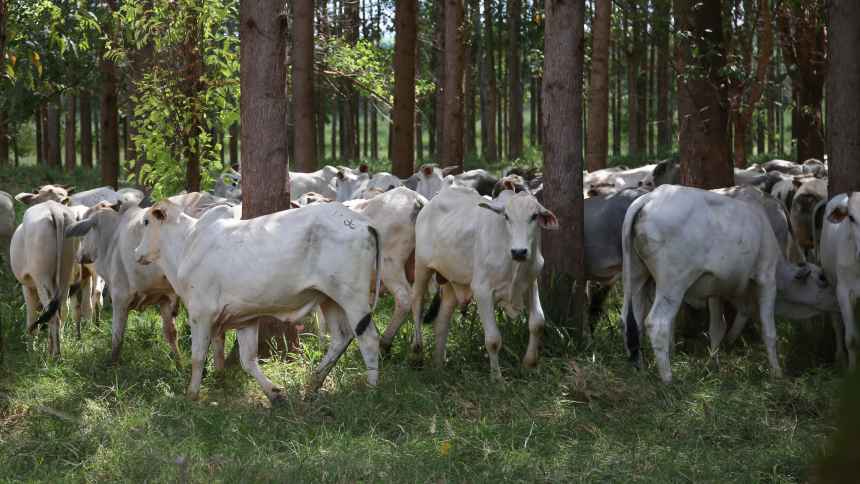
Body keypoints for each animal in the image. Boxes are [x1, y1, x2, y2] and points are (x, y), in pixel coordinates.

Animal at [9, 200, 78, 356]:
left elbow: (31, 317)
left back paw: (54, 355)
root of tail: (53, 208)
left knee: (53, 316)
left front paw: (31, 351)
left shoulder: (27, 286)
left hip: (42, 280)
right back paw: (56, 349)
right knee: (62, 310)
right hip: (65, 275)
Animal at [134, 199, 380, 400]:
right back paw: (312, 384)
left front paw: (192, 394)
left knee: (368, 337)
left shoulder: (200, 314)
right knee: (341, 337)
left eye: (146, 222)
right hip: (329, 298)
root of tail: (363, 222)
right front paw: (274, 393)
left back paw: (371, 389)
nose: (137, 252)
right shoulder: (245, 319)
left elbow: (198, 356)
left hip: (352, 296)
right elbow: (248, 360)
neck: (187, 244)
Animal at [410, 185, 556, 378]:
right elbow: (493, 339)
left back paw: (438, 365)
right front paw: (496, 377)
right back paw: (416, 351)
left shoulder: (530, 284)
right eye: (507, 216)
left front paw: (530, 364)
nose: (519, 251)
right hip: (421, 266)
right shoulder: (482, 291)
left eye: (534, 216)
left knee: (441, 322)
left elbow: (537, 322)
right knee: (417, 302)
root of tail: (430, 203)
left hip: (451, 283)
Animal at [620, 184, 836, 382]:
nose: (836, 299)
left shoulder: (715, 289)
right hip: (673, 285)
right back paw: (668, 379)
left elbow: (717, 328)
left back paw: (640, 369)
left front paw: (714, 365)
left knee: (633, 320)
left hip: (638, 278)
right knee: (657, 323)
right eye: (822, 279)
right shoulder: (766, 278)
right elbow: (769, 331)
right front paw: (776, 373)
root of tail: (649, 198)